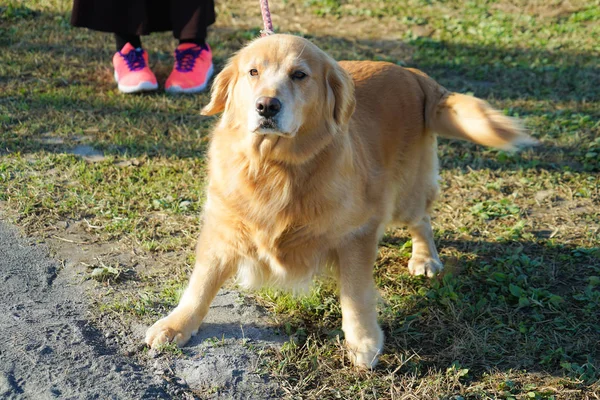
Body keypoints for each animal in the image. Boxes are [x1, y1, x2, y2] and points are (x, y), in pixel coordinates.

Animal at [145, 32, 536, 368]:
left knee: (421, 220)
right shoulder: (223, 228)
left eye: (299, 75)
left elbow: (356, 294)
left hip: (405, 194)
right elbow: (201, 283)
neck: (275, 167)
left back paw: (425, 258)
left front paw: (363, 340)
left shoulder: (354, 236)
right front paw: (177, 324)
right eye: (252, 72)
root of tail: (412, 75)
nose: (266, 106)